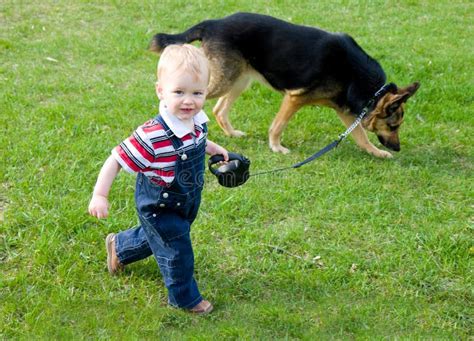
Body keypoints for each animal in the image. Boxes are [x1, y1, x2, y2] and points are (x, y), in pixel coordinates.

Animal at [151, 11, 418, 158]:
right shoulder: (294, 98)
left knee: (218, 109)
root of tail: (213, 22)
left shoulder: (344, 110)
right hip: (223, 81)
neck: (371, 89)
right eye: (393, 126)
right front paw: (276, 148)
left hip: (239, 80)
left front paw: (376, 152)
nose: (397, 148)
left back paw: (232, 133)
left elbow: (361, 137)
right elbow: (278, 126)